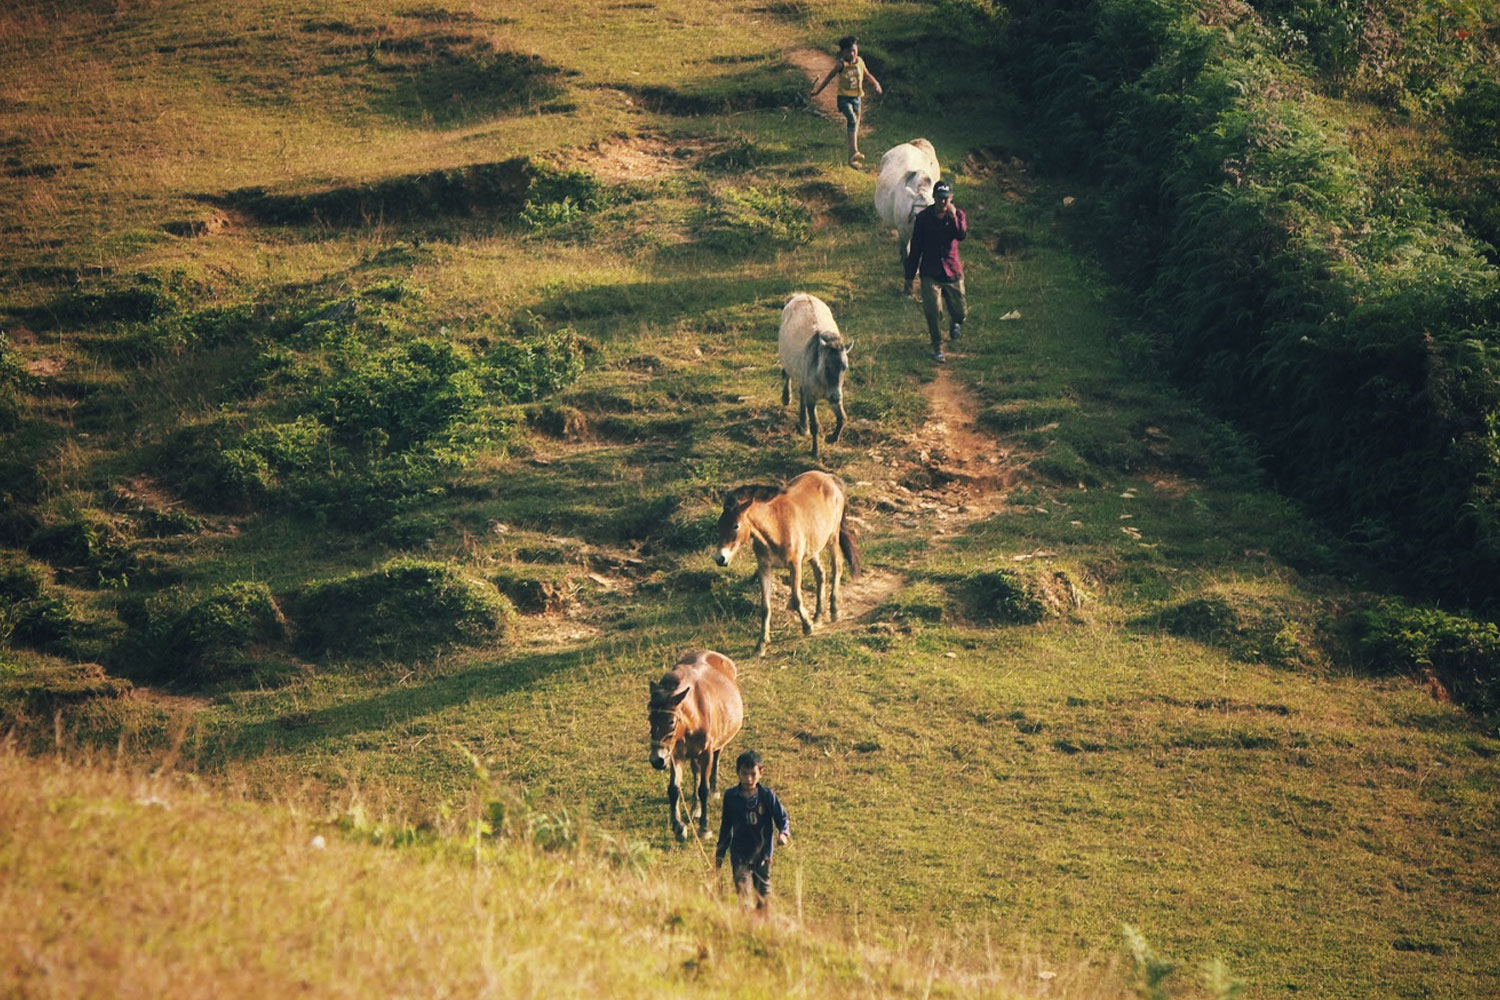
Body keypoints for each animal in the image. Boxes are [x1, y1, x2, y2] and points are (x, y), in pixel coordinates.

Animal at [645, 650, 744, 839]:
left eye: (671, 721)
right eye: (650, 719)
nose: (656, 760)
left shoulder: (705, 753)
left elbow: (703, 790)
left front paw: (704, 827)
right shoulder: (675, 754)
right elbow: (674, 788)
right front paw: (678, 825)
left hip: (717, 743)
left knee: (716, 758)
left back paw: (713, 790)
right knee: (695, 772)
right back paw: (694, 807)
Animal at [717, 470, 870, 656]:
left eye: (735, 526)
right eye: (719, 525)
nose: (720, 558)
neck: (777, 525)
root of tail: (830, 478)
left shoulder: (795, 565)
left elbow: (796, 598)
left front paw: (807, 627)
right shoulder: (765, 568)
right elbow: (765, 607)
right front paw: (761, 645)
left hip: (832, 537)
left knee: (837, 567)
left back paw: (834, 611)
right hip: (813, 548)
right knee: (820, 574)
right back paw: (818, 616)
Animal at [780, 290, 852, 458]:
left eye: (844, 367)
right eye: (827, 366)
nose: (835, 397)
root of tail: (799, 295)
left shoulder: (834, 393)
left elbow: (842, 418)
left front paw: (831, 438)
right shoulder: (812, 397)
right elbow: (815, 425)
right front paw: (815, 450)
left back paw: (802, 425)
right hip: (789, 361)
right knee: (788, 375)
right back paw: (786, 398)